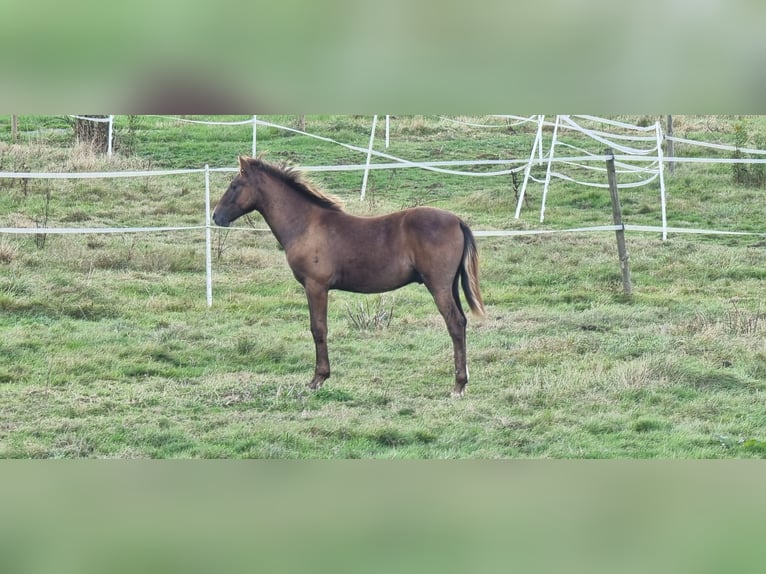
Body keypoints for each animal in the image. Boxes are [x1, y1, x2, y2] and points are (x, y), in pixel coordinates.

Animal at [212, 159, 486, 400]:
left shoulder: (316, 286)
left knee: (454, 323)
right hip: (450, 286)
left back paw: (458, 386)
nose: (217, 217)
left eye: (234, 185)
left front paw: (318, 379)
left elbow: (318, 328)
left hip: (438, 286)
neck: (305, 224)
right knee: (461, 322)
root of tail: (457, 221)